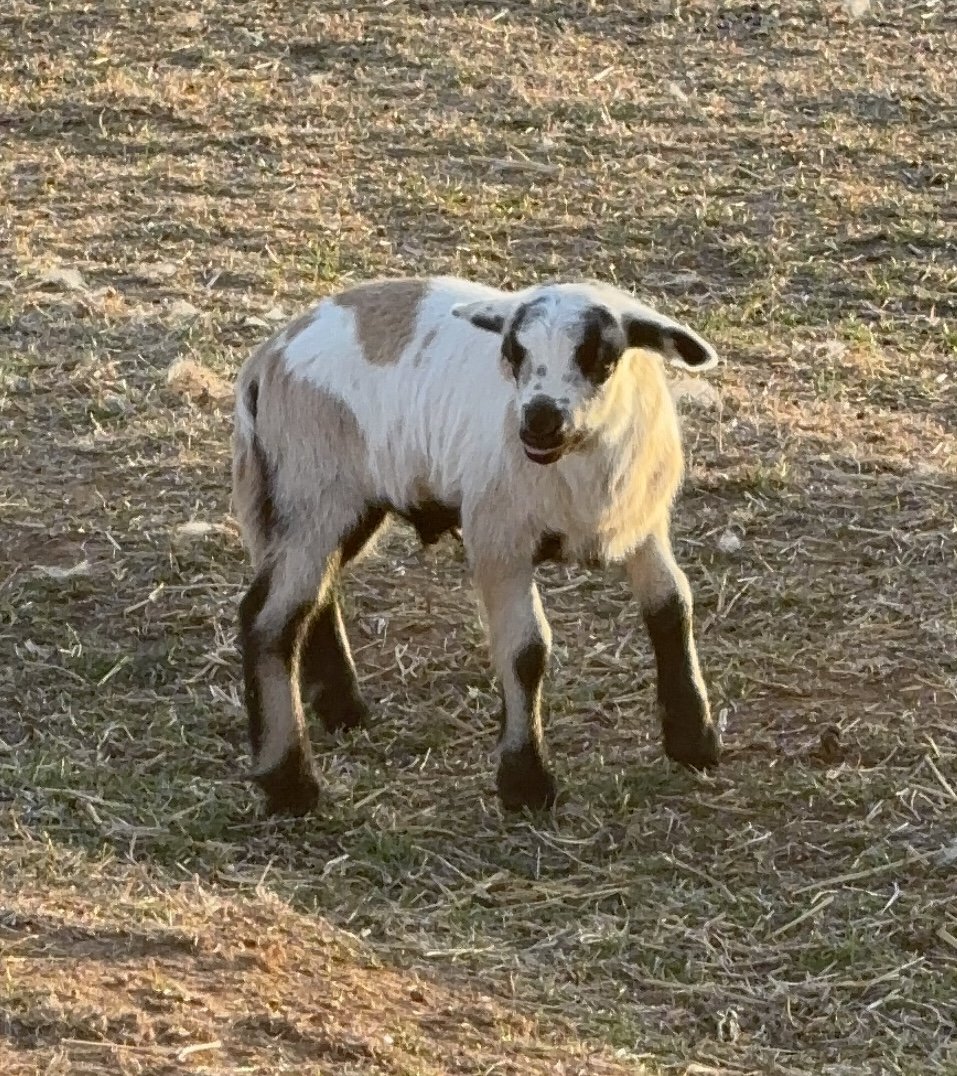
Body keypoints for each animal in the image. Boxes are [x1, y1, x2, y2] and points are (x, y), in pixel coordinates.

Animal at [232, 275, 722, 816]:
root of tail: (267, 359)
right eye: (513, 352)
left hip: (339, 505)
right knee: (268, 620)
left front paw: (694, 740)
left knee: (316, 597)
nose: (539, 420)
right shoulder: (498, 542)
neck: (582, 466)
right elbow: (526, 649)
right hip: (315, 493)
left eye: (602, 357)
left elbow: (672, 605)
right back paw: (290, 783)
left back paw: (344, 711)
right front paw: (525, 781)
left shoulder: (643, 528)